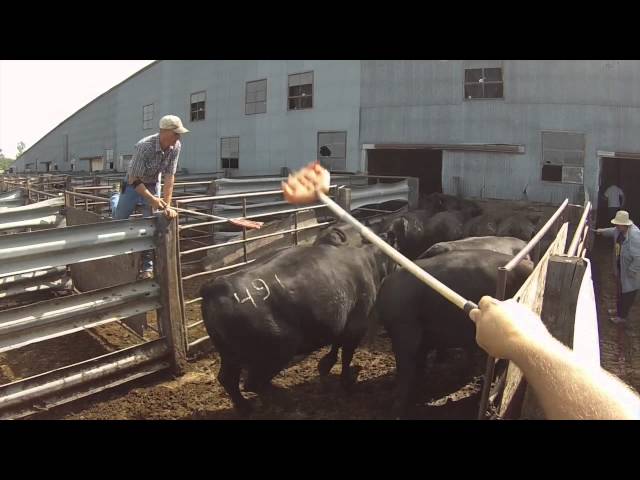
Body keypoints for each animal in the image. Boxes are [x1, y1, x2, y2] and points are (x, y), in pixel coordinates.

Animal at [200, 242, 392, 414]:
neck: (369, 260)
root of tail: (216, 286)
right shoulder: (356, 325)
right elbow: (346, 355)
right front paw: (346, 383)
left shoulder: (341, 323)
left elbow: (336, 344)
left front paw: (325, 365)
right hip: (276, 350)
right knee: (252, 383)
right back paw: (285, 397)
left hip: (230, 354)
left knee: (228, 379)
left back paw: (245, 407)